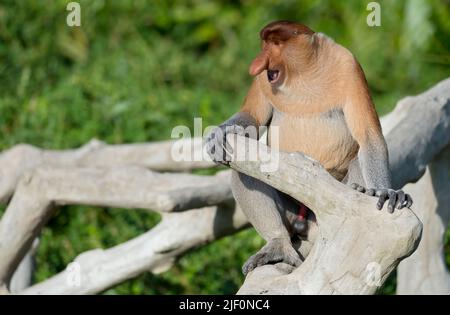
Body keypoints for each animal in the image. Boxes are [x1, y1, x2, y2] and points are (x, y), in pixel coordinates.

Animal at [206, 20, 414, 276]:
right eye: (265, 44)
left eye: (276, 44)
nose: (257, 64)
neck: (304, 73)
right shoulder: (264, 82)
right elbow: (252, 116)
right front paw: (219, 133)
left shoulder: (349, 66)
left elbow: (368, 135)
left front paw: (387, 192)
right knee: (243, 171)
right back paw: (276, 245)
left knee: (357, 161)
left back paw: (361, 191)